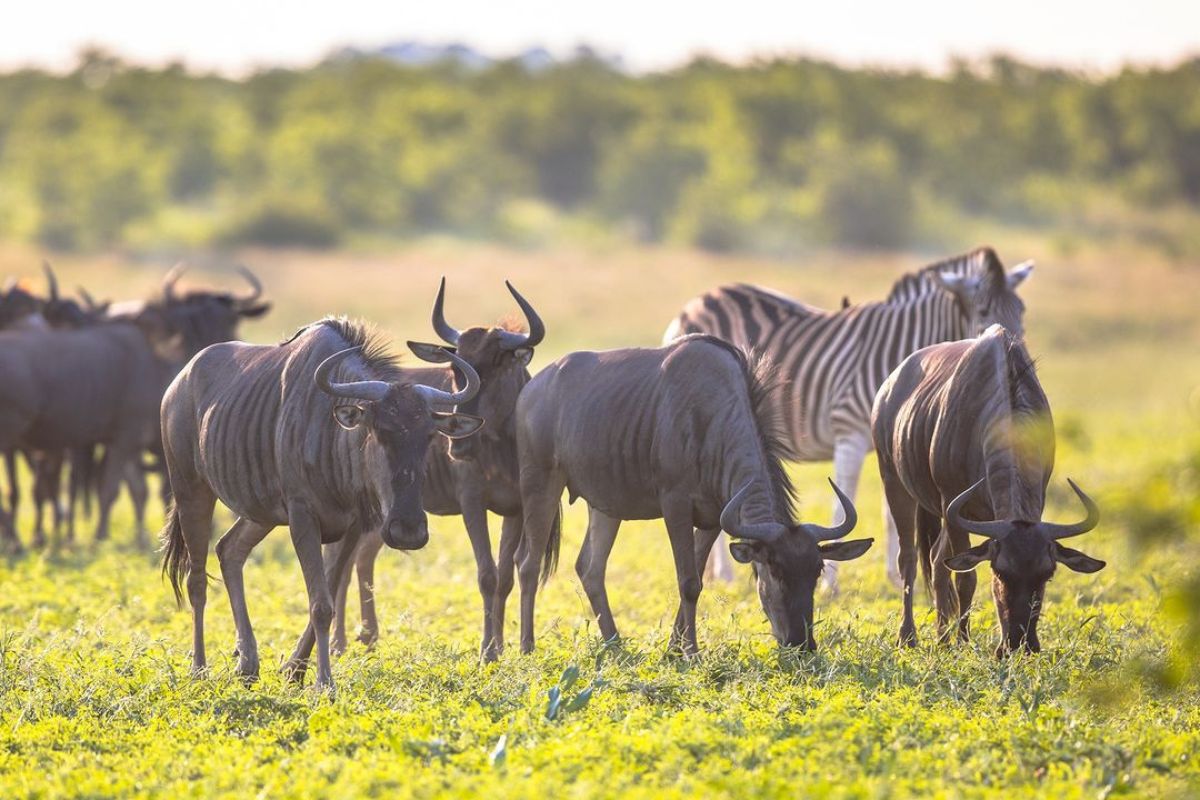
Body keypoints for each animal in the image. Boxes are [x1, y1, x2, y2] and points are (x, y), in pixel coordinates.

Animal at [667, 247, 1032, 592]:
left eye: (1021, 310)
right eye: (983, 312)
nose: (1016, 356)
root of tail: (693, 305)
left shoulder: (890, 443)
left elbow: (891, 513)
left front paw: (894, 578)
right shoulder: (849, 434)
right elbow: (844, 506)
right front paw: (831, 584)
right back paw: (725, 576)